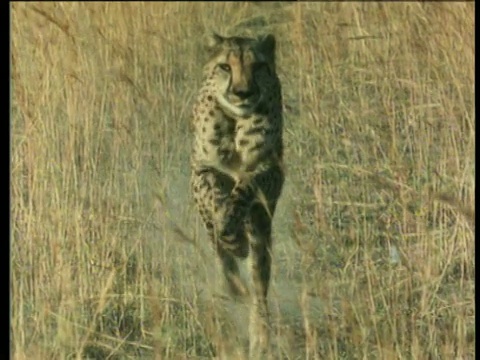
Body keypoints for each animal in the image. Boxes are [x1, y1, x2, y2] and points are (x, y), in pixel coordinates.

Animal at [189, 32, 284, 356]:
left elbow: (244, 188)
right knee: (223, 260)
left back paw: (260, 334)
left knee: (258, 284)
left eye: (257, 67)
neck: (233, 122)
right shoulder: (201, 169)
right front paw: (229, 231)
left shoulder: (270, 171)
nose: (243, 93)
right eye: (225, 67)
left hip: (262, 230)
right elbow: (214, 195)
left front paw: (235, 231)